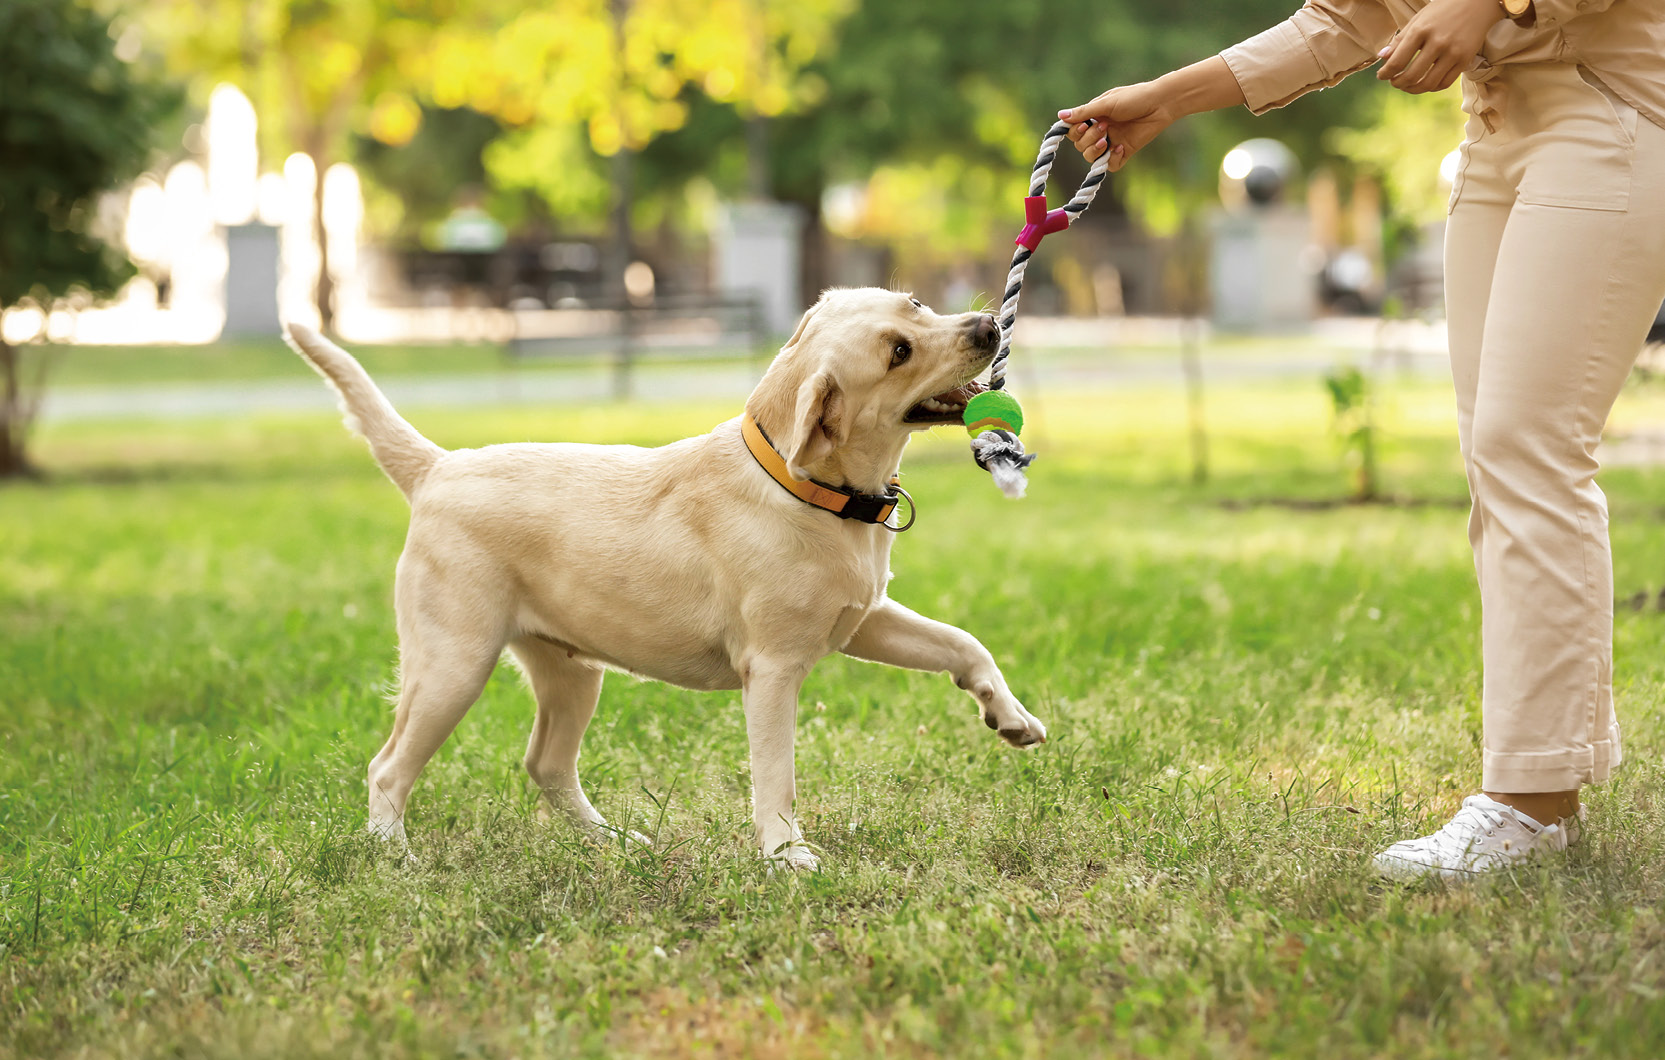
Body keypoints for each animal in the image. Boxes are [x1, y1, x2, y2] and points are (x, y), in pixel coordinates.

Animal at [283, 288, 1045, 870]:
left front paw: (1010, 716)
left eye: (913, 304)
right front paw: (786, 856)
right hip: (453, 663)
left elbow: (962, 643)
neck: (805, 487)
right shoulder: (773, 669)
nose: (987, 326)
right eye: (897, 353)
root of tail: (438, 467)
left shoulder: (865, 619)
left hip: (570, 671)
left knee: (546, 765)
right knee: (389, 767)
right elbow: (777, 775)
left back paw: (615, 843)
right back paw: (395, 856)